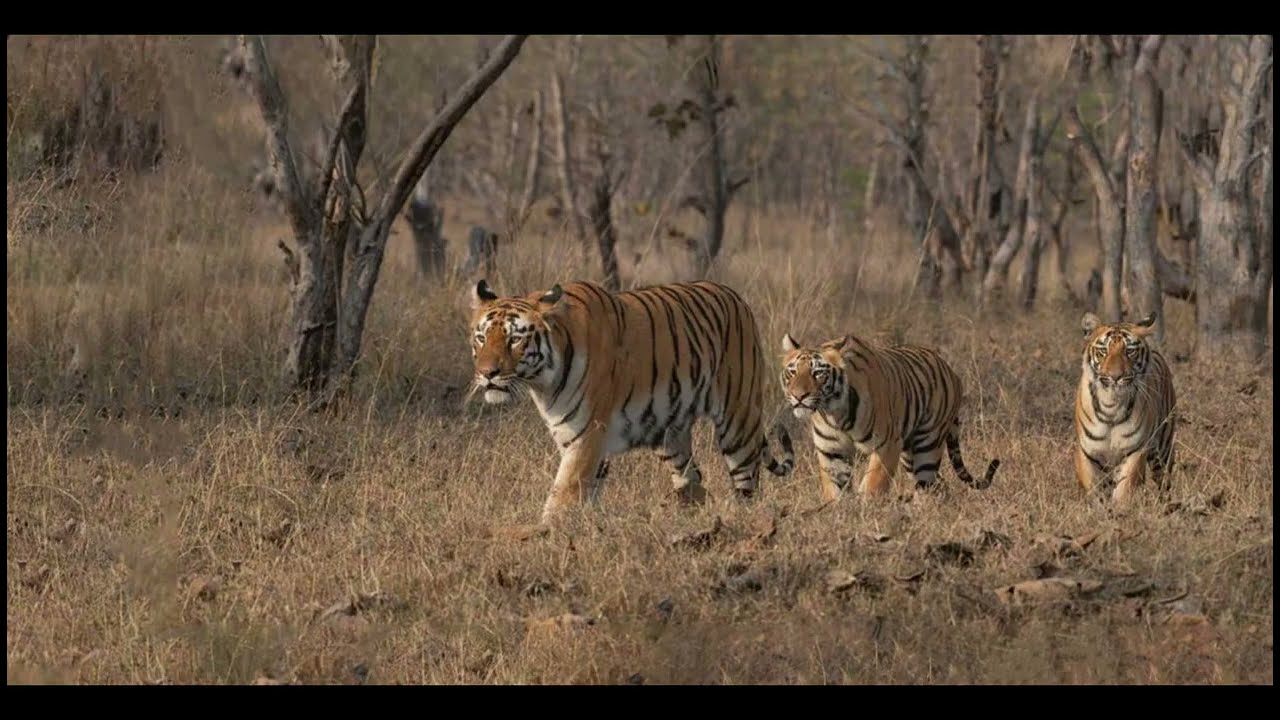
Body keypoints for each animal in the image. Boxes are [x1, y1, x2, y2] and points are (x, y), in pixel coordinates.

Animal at [468, 278, 795, 524]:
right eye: (482, 338)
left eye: (514, 339)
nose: (487, 373)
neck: (543, 382)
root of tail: (736, 296)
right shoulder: (573, 438)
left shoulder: (587, 437)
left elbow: (563, 495)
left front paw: (545, 537)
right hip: (670, 433)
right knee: (694, 479)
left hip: (739, 421)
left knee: (747, 484)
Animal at [779, 332, 1000, 501]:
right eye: (792, 372)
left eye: (817, 373)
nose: (799, 396)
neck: (833, 412)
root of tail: (953, 372)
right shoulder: (830, 451)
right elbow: (834, 490)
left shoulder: (886, 445)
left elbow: (873, 485)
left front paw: (865, 513)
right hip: (909, 455)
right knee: (939, 485)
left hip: (927, 445)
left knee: (927, 485)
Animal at [1074, 311, 1176, 506]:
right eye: (1103, 351)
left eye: (1130, 351)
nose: (1115, 377)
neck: (1111, 405)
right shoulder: (1088, 453)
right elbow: (1094, 491)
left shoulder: (1135, 452)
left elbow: (1125, 489)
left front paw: (1120, 509)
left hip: (1163, 448)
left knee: (1164, 482)